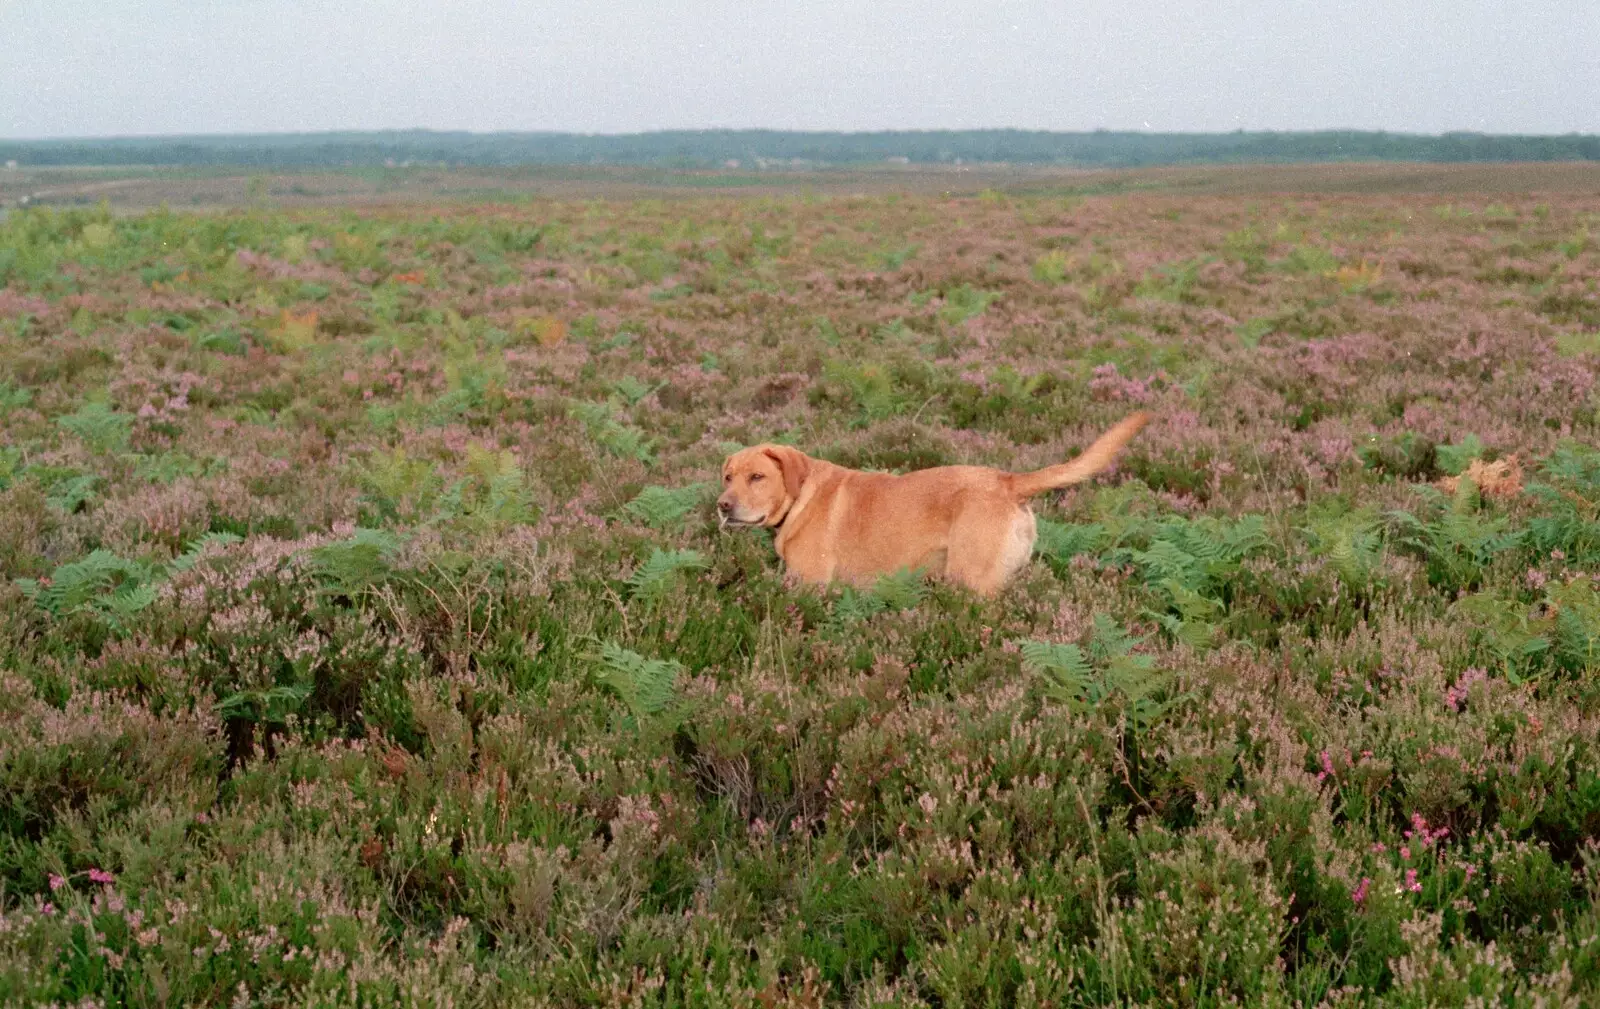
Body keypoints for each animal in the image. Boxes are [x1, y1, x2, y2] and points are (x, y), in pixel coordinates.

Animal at [716, 412, 1152, 594]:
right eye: (728, 476)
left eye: (757, 477)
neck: (799, 497)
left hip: (972, 582)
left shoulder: (813, 586)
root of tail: (1007, 481)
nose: (722, 506)